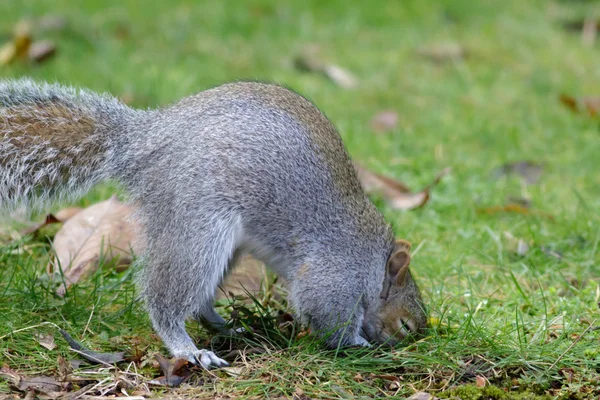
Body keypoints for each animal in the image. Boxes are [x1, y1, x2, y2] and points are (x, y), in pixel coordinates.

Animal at [2, 79, 428, 368]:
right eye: (405, 325)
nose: (408, 347)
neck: (373, 266)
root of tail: (142, 142)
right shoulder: (336, 277)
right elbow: (329, 318)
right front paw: (358, 345)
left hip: (227, 246)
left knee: (200, 302)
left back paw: (230, 328)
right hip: (199, 224)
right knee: (168, 300)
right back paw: (188, 348)